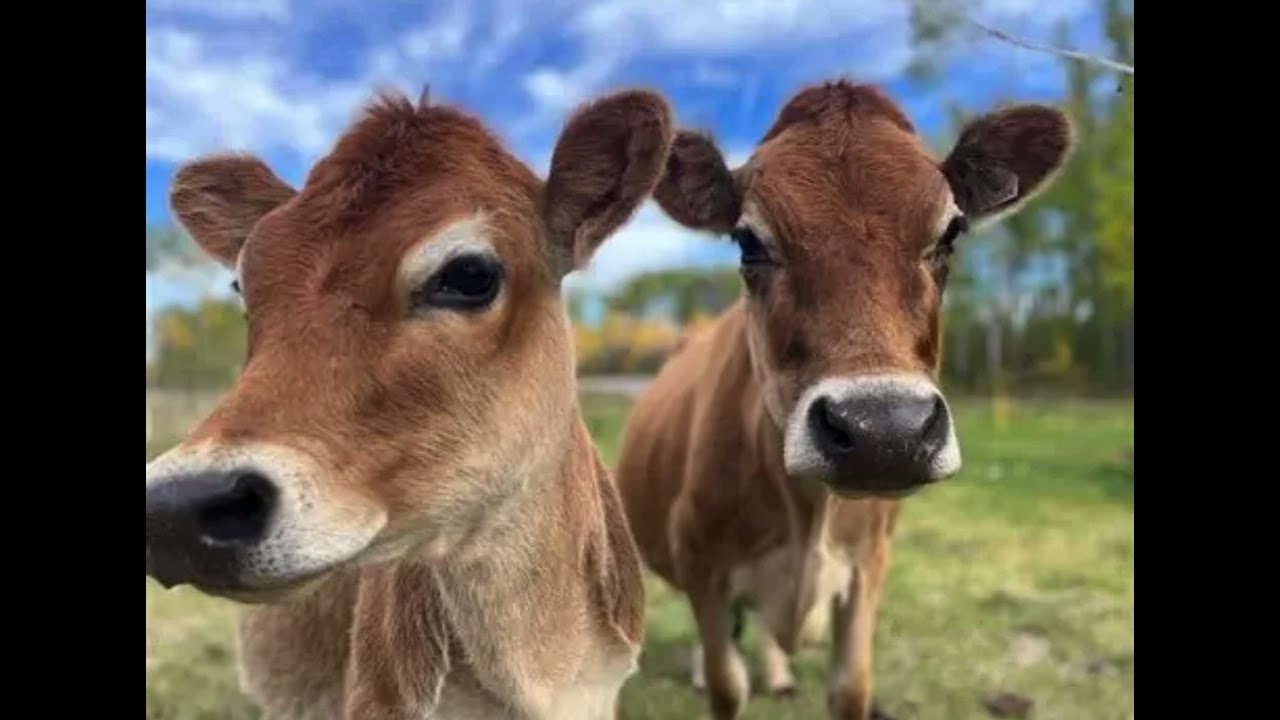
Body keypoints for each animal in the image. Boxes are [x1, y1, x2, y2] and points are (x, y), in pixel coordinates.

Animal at [614, 79, 1073, 720]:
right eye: (748, 241)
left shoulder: (869, 563)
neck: (807, 513)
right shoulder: (701, 560)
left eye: (951, 232)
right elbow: (728, 683)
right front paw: (717, 678)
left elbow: (851, 687)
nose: (886, 431)